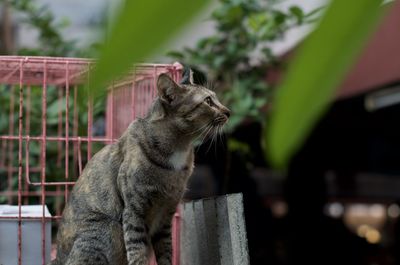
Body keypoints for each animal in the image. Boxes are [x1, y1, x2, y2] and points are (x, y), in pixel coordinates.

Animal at [50, 68, 231, 264]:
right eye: (208, 101)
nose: (229, 111)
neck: (179, 148)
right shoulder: (133, 211)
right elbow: (137, 253)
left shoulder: (166, 214)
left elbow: (166, 252)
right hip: (108, 229)